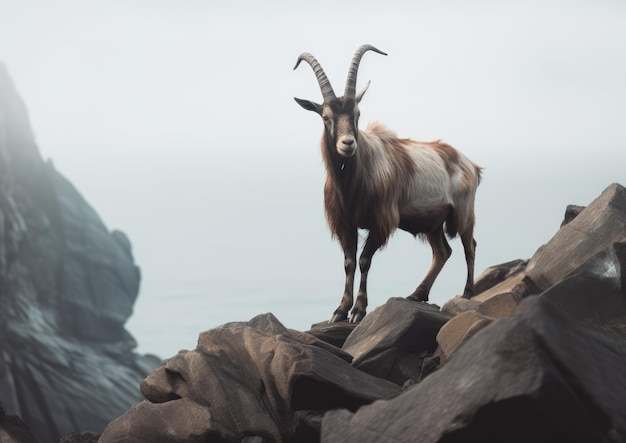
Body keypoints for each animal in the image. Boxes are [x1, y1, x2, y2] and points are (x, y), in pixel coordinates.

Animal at [294, 44, 482, 322]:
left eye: (357, 113)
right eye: (326, 117)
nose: (348, 144)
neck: (353, 183)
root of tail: (471, 165)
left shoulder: (381, 220)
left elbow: (364, 260)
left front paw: (358, 310)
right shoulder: (345, 223)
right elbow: (349, 262)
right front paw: (340, 310)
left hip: (462, 212)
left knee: (470, 245)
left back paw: (467, 293)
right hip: (432, 221)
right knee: (442, 252)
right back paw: (416, 294)